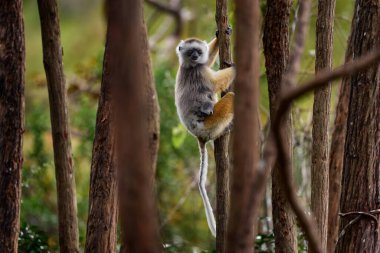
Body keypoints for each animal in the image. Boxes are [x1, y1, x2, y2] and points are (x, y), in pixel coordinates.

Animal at [174, 30, 235, 236]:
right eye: (190, 51)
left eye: (198, 51)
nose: (195, 56)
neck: (188, 66)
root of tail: (198, 135)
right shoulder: (199, 73)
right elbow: (215, 82)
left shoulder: (199, 67)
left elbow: (207, 63)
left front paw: (222, 33)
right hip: (209, 124)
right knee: (230, 98)